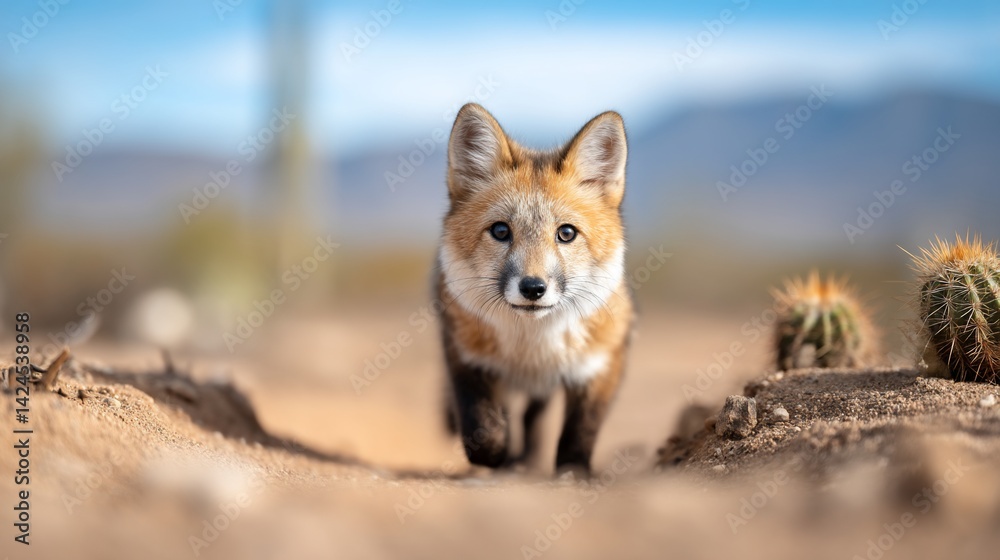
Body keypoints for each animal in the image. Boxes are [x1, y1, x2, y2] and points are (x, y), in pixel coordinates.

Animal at [436, 103, 634, 474]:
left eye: (566, 233)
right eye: (500, 231)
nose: (533, 288)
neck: (532, 350)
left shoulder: (603, 358)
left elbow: (581, 428)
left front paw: (572, 470)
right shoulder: (463, 352)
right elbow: (482, 425)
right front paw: (495, 456)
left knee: (533, 416)